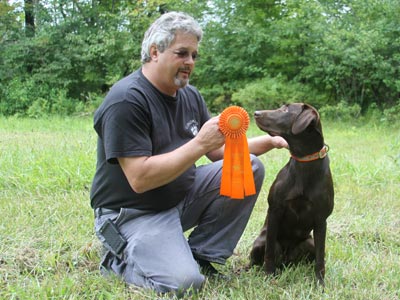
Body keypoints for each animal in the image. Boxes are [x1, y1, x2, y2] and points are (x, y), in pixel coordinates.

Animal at [250, 103, 334, 286]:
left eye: (286, 110)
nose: (255, 113)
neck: (304, 162)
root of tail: (287, 260)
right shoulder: (275, 210)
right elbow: (269, 252)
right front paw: (268, 275)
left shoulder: (321, 219)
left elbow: (320, 257)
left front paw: (320, 283)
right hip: (261, 241)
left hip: (309, 242)